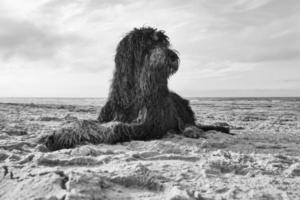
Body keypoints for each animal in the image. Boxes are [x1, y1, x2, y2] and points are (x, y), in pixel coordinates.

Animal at [44, 27, 230, 151]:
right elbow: (85, 122)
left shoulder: (149, 124)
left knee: (188, 123)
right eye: (149, 43)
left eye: (164, 43)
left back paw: (193, 131)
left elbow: (117, 127)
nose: (173, 56)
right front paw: (62, 133)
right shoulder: (108, 115)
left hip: (182, 108)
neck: (135, 92)